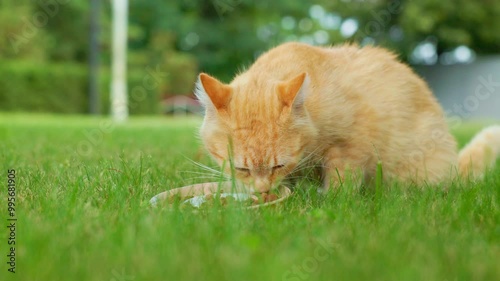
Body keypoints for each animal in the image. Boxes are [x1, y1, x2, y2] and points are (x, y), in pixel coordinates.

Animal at [194, 42, 500, 192]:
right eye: (242, 169)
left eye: (278, 165)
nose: (261, 191)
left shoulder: (351, 145)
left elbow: (342, 184)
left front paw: (329, 200)